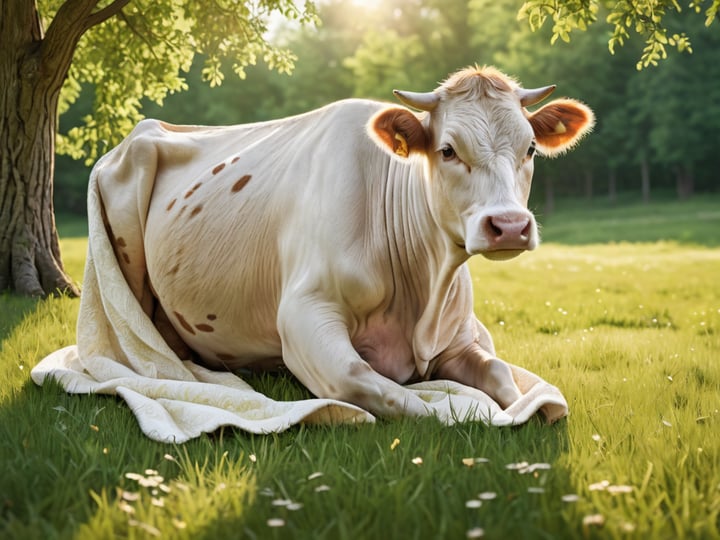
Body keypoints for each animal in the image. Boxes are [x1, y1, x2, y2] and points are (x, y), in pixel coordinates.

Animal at [93, 65, 594, 423]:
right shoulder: (304, 314)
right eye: (448, 150)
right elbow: (399, 396)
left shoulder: (456, 337)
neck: (421, 291)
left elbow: (503, 376)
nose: (509, 225)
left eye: (530, 148)